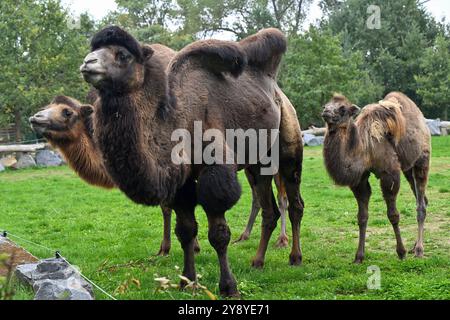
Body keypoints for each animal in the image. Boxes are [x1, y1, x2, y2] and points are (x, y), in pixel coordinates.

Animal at [81, 25, 306, 298]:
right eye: (94, 50)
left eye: (123, 55)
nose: (88, 63)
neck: (180, 121)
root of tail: (275, 88)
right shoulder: (182, 181)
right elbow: (186, 230)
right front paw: (187, 281)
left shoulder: (216, 173)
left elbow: (219, 234)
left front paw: (229, 286)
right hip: (258, 162)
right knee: (269, 209)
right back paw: (258, 261)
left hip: (289, 144)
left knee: (295, 202)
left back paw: (295, 257)